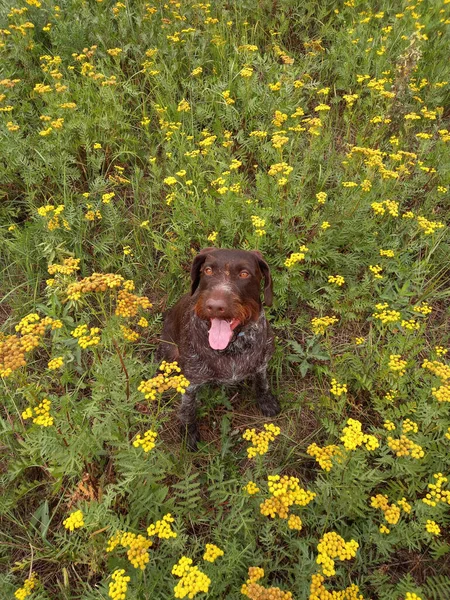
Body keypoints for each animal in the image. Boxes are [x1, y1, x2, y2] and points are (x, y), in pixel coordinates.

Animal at [156, 246, 280, 448]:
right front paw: (188, 433)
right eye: (208, 270)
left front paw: (266, 401)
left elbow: (262, 383)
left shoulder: (262, 363)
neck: (232, 347)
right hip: (169, 353)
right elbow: (188, 408)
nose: (214, 306)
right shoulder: (191, 382)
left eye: (244, 273)